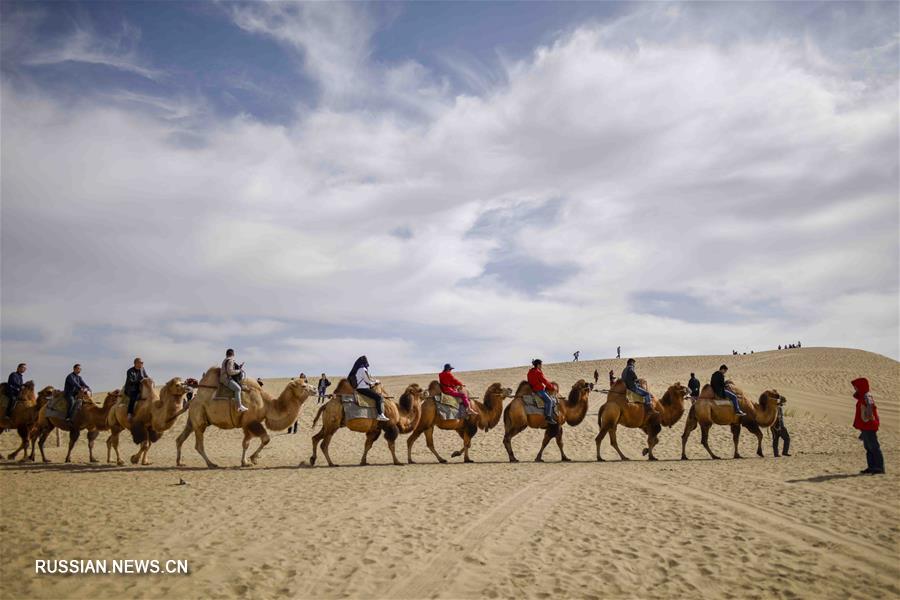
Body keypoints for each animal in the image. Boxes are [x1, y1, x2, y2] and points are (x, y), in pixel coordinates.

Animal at [176, 370, 316, 468]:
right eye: (303, 385)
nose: (315, 389)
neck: (266, 404)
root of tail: (193, 400)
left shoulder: (246, 424)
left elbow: (246, 443)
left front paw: (245, 462)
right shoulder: (251, 421)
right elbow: (266, 439)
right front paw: (253, 458)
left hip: (193, 419)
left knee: (180, 439)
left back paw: (179, 462)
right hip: (199, 419)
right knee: (198, 445)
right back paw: (211, 464)